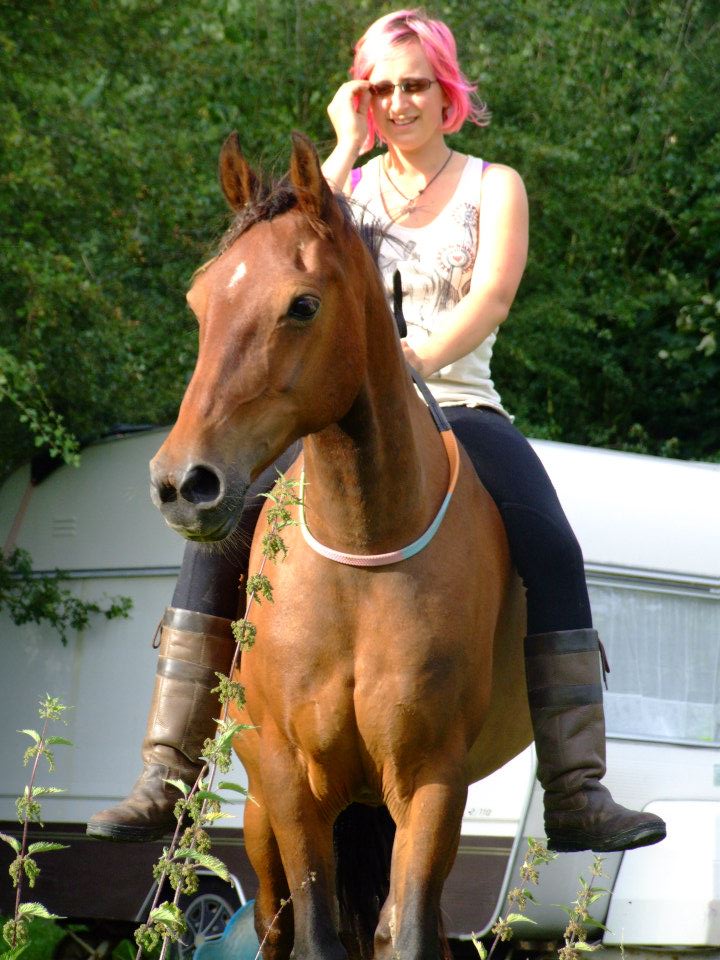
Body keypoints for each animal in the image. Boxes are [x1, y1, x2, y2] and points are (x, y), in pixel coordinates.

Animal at [149, 133, 532, 960]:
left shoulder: (429, 781)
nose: (183, 483)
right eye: (200, 302)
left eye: (302, 305)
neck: (363, 553)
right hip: (262, 819)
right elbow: (316, 937)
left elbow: (409, 931)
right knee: (274, 924)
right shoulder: (291, 785)